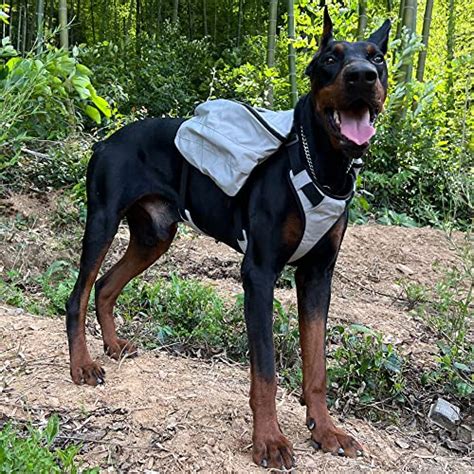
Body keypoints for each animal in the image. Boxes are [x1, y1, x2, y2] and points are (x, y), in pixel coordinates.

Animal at [65, 9, 388, 468]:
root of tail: (104, 142)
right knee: (78, 294)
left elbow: (317, 365)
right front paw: (269, 440)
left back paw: (113, 345)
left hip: (155, 234)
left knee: (106, 285)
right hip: (103, 222)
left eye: (378, 57)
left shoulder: (317, 275)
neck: (321, 164)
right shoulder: (259, 273)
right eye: (330, 59)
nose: (362, 76)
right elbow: (266, 371)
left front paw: (325, 430)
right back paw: (83, 365)